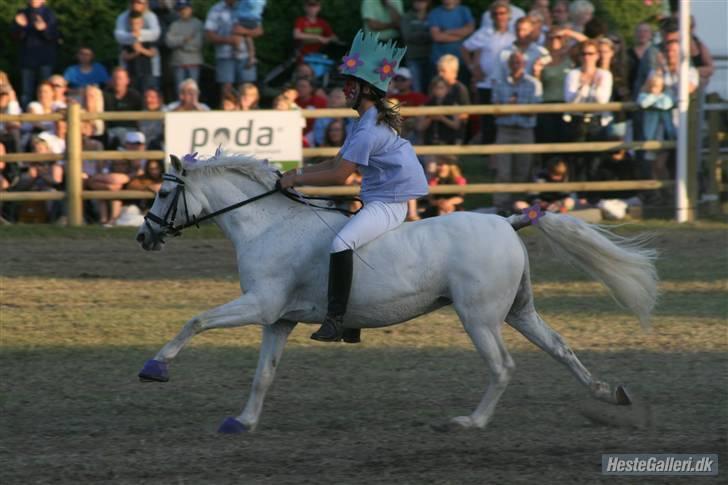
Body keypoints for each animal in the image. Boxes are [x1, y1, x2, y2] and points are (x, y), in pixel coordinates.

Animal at [136, 153, 660, 432]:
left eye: (162, 194)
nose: (144, 236)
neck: (268, 224)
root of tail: (508, 222)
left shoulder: (260, 306)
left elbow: (196, 320)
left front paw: (155, 368)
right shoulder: (278, 319)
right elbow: (263, 375)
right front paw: (243, 422)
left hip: (478, 317)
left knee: (502, 366)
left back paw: (469, 423)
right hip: (517, 311)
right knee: (560, 347)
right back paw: (609, 394)